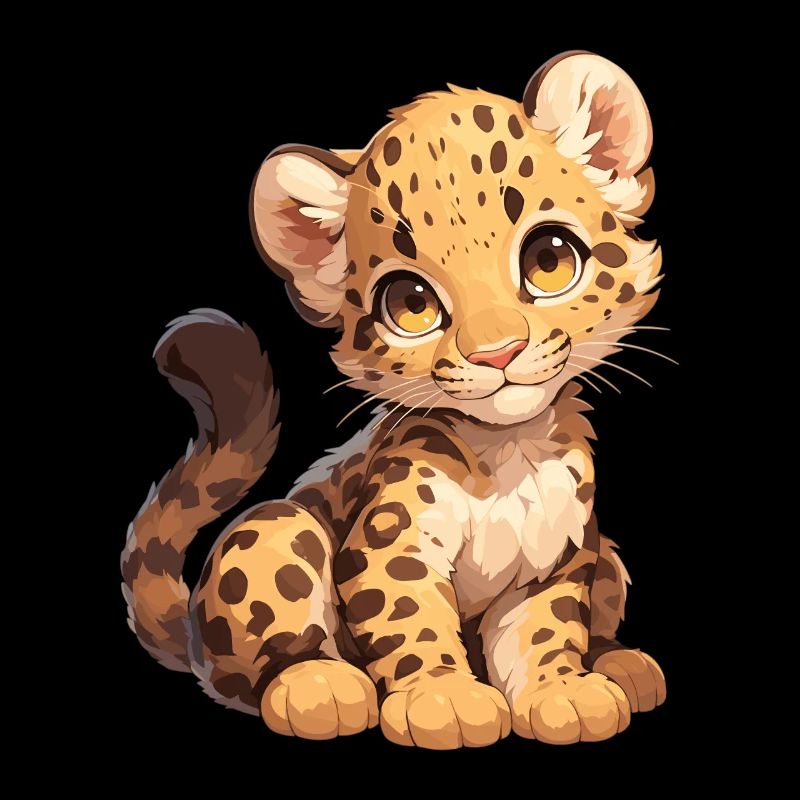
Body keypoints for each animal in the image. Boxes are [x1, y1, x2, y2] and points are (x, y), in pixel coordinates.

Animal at [122, 51, 666, 749]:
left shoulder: (558, 555)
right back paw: (316, 684)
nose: (497, 353)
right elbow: (410, 618)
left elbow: (548, 630)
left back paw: (624, 665)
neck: (510, 453)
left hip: (610, 556)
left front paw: (563, 692)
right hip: (274, 530)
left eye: (550, 259)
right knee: (248, 670)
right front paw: (444, 699)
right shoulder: (393, 544)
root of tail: (191, 635)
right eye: (410, 304)